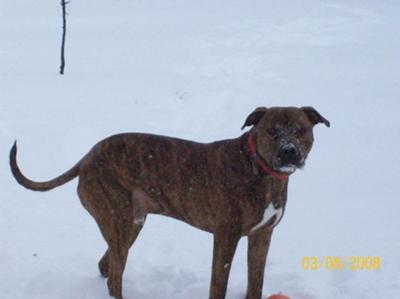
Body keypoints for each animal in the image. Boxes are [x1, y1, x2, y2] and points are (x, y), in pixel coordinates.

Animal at [9, 106, 328, 298]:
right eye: (272, 131)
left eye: (300, 130)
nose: (289, 151)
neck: (260, 170)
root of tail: (87, 157)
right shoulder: (226, 237)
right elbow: (219, 284)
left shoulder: (262, 235)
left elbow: (256, 281)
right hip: (119, 221)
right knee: (114, 275)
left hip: (130, 224)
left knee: (106, 265)